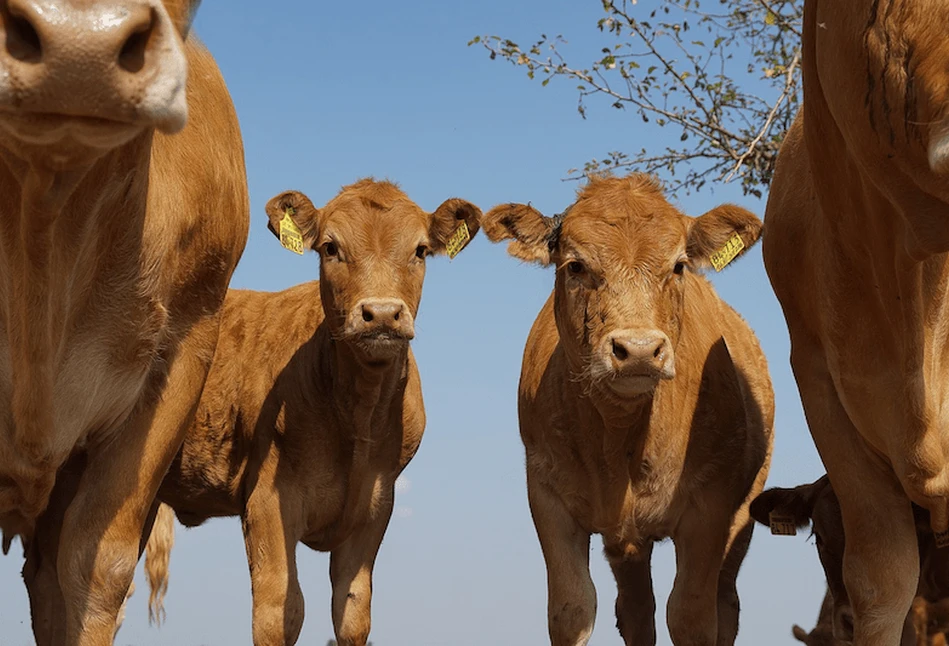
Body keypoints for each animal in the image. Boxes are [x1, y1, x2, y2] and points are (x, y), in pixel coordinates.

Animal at [149, 178, 486, 646]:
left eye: (420, 250)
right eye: (330, 247)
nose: (382, 313)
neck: (358, 415)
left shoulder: (375, 507)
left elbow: (352, 611)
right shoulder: (267, 500)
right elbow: (281, 610)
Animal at [482, 173, 772, 646]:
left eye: (678, 266)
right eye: (575, 266)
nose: (638, 350)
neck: (621, 437)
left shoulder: (710, 508)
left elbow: (691, 616)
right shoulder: (547, 496)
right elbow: (572, 609)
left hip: (744, 513)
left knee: (724, 603)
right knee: (637, 610)